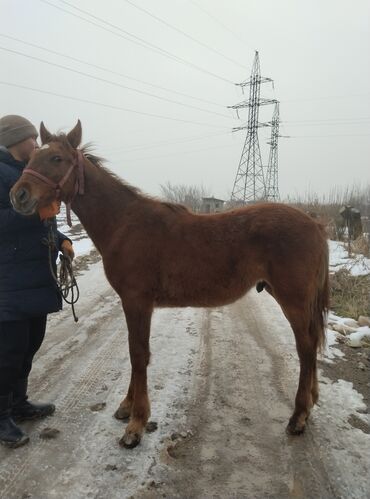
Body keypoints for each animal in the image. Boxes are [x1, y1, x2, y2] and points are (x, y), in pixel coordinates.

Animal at [10, 123, 330, 452]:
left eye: (57, 158)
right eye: (32, 157)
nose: (19, 195)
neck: (124, 224)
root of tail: (316, 225)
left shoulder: (137, 301)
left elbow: (138, 354)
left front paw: (136, 425)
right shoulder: (134, 304)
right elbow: (137, 352)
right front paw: (126, 407)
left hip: (293, 301)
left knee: (306, 348)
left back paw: (299, 417)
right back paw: (310, 402)